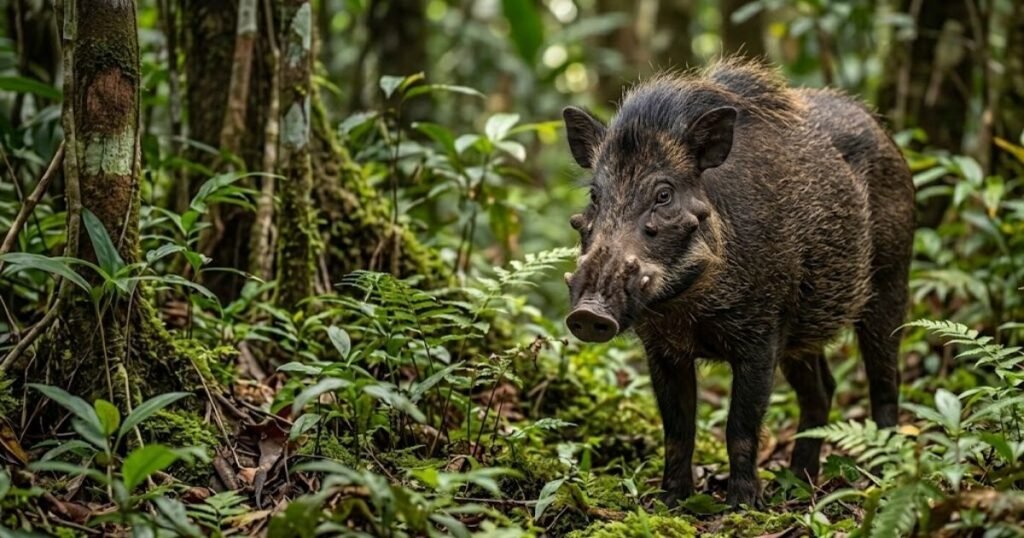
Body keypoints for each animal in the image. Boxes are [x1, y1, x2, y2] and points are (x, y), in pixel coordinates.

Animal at [562, 59, 914, 507]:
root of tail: (881, 127)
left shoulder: (761, 336)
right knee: (822, 390)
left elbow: (740, 428)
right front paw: (670, 501)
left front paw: (744, 505)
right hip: (803, 331)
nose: (589, 313)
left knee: (884, 380)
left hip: (891, 280)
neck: (688, 307)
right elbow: (678, 429)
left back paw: (882, 477)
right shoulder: (662, 349)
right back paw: (798, 482)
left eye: (664, 194)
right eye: (594, 195)